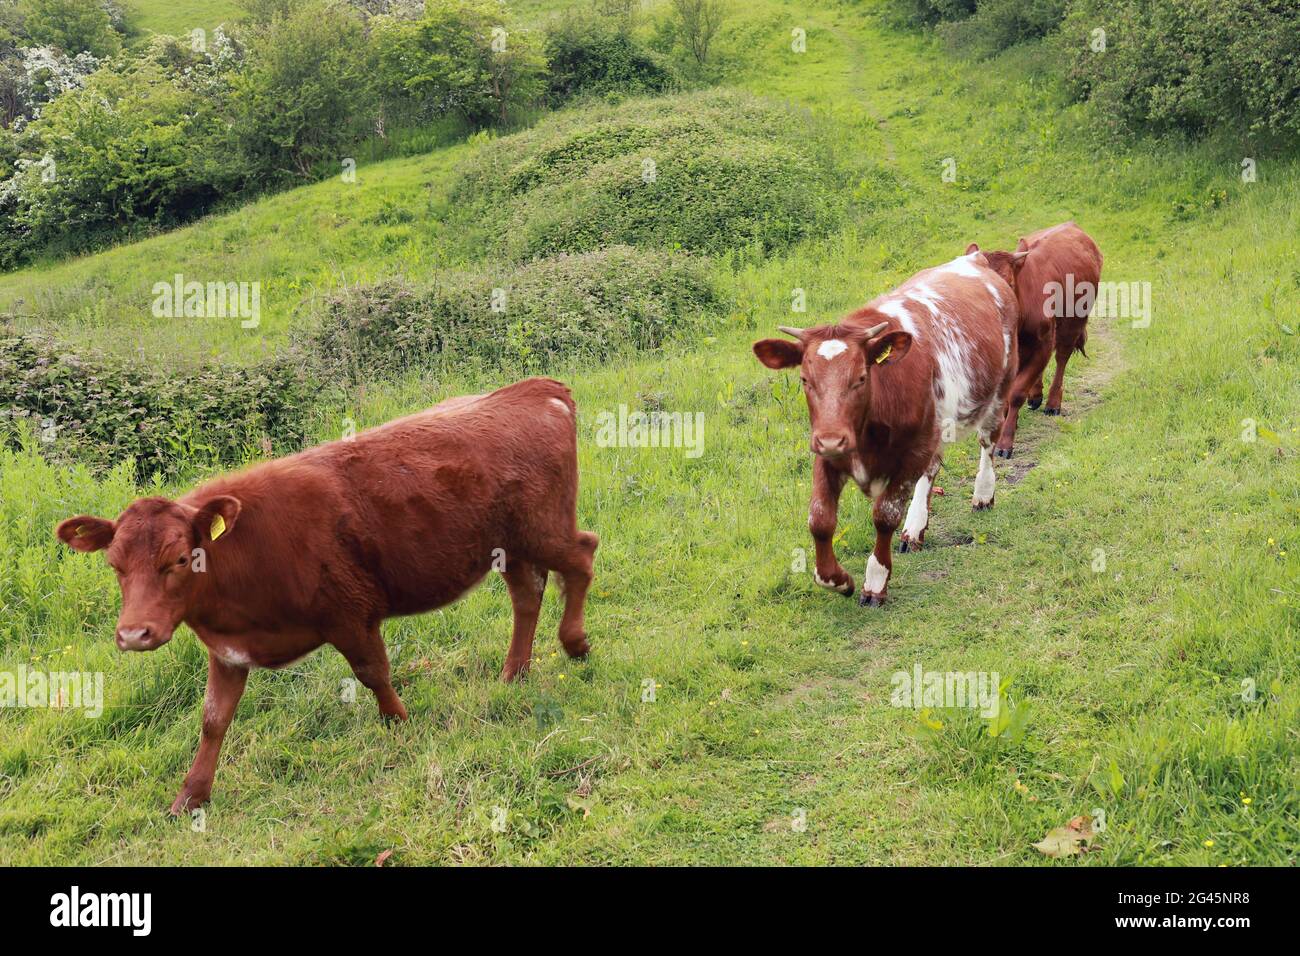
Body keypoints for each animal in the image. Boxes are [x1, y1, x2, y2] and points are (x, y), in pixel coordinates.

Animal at [53, 377, 595, 811]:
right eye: (115, 565)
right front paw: (191, 795)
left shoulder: (350, 613)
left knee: (583, 555)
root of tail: (536, 389)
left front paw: (399, 724)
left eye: (181, 559)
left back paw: (574, 643)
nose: (134, 634)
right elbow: (212, 719)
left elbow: (373, 672)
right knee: (528, 595)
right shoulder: (226, 651)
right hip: (512, 546)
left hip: (544, 530)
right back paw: (513, 672)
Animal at [754, 248, 1013, 606]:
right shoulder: (827, 454)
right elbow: (819, 519)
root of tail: (973, 259)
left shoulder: (913, 451)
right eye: (805, 379)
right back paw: (915, 528)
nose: (832, 440)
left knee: (987, 443)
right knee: (932, 470)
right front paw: (838, 580)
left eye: (861, 378)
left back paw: (983, 494)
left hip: (999, 391)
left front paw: (875, 581)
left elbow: (885, 514)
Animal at [977, 218, 1102, 457]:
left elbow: (1016, 393)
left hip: (1072, 323)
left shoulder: (1043, 345)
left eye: (1009, 284)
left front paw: (1005, 442)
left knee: (1062, 357)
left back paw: (1053, 402)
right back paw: (1035, 395)